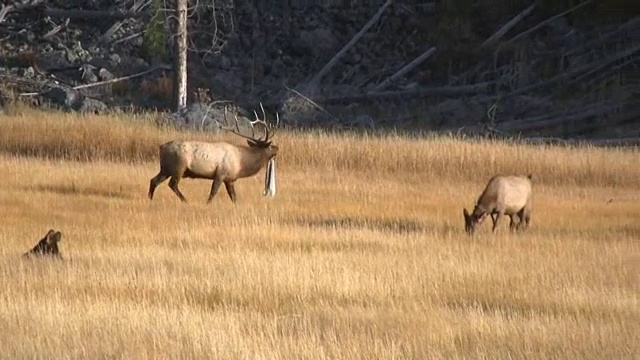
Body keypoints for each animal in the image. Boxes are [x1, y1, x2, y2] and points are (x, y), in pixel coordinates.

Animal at [151, 105, 282, 204]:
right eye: (270, 146)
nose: (277, 147)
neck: (241, 163)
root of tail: (162, 147)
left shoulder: (230, 179)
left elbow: (234, 197)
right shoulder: (220, 174)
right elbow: (213, 193)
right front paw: (207, 204)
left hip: (166, 169)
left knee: (154, 181)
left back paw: (150, 200)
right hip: (179, 167)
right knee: (172, 184)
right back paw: (185, 200)